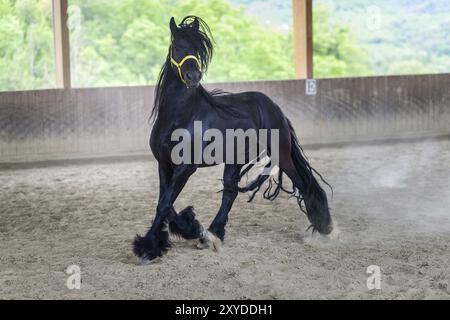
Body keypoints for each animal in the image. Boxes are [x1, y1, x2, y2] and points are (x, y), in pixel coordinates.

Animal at [132, 16, 332, 264]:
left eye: (198, 50)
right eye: (177, 47)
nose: (193, 77)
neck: (181, 115)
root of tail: (274, 107)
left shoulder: (186, 167)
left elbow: (164, 203)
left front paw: (147, 247)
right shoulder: (164, 164)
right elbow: (165, 202)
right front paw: (188, 228)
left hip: (281, 154)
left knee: (303, 183)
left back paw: (325, 227)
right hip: (236, 159)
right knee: (230, 192)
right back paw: (212, 234)